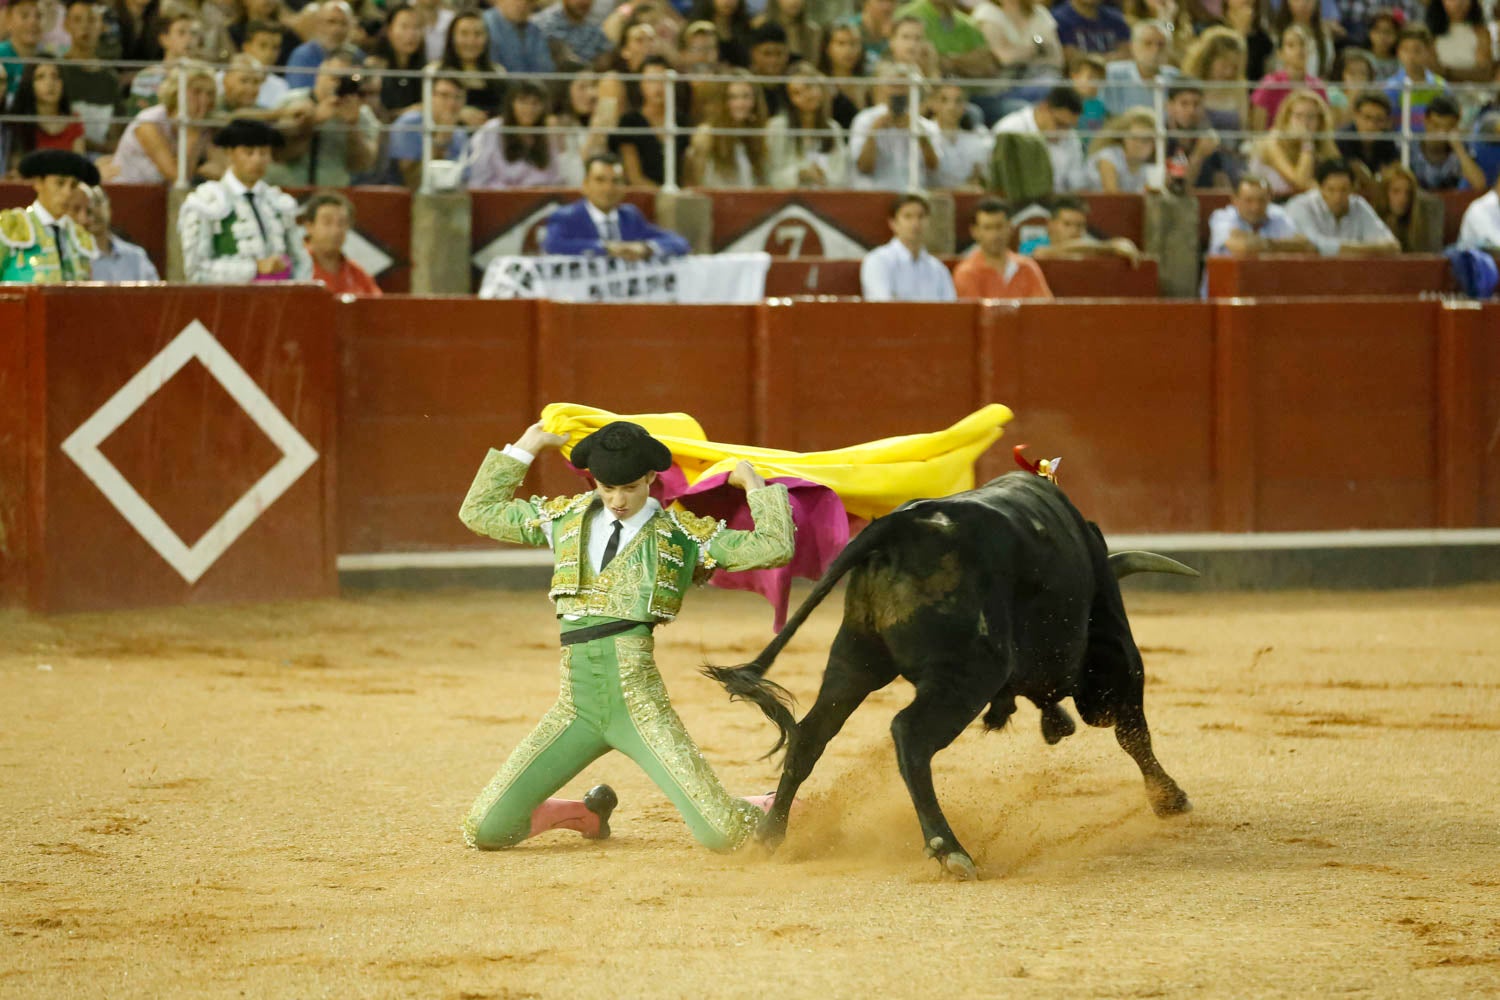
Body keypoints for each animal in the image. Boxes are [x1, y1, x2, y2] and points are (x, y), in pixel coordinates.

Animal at [702, 470, 1194, 875]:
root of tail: (901, 526)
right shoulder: (1118, 650)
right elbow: (1132, 729)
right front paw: (1170, 799)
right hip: (967, 673)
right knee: (909, 734)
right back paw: (951, 850)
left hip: (855, 657)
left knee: (810, 735)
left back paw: (770, 836)